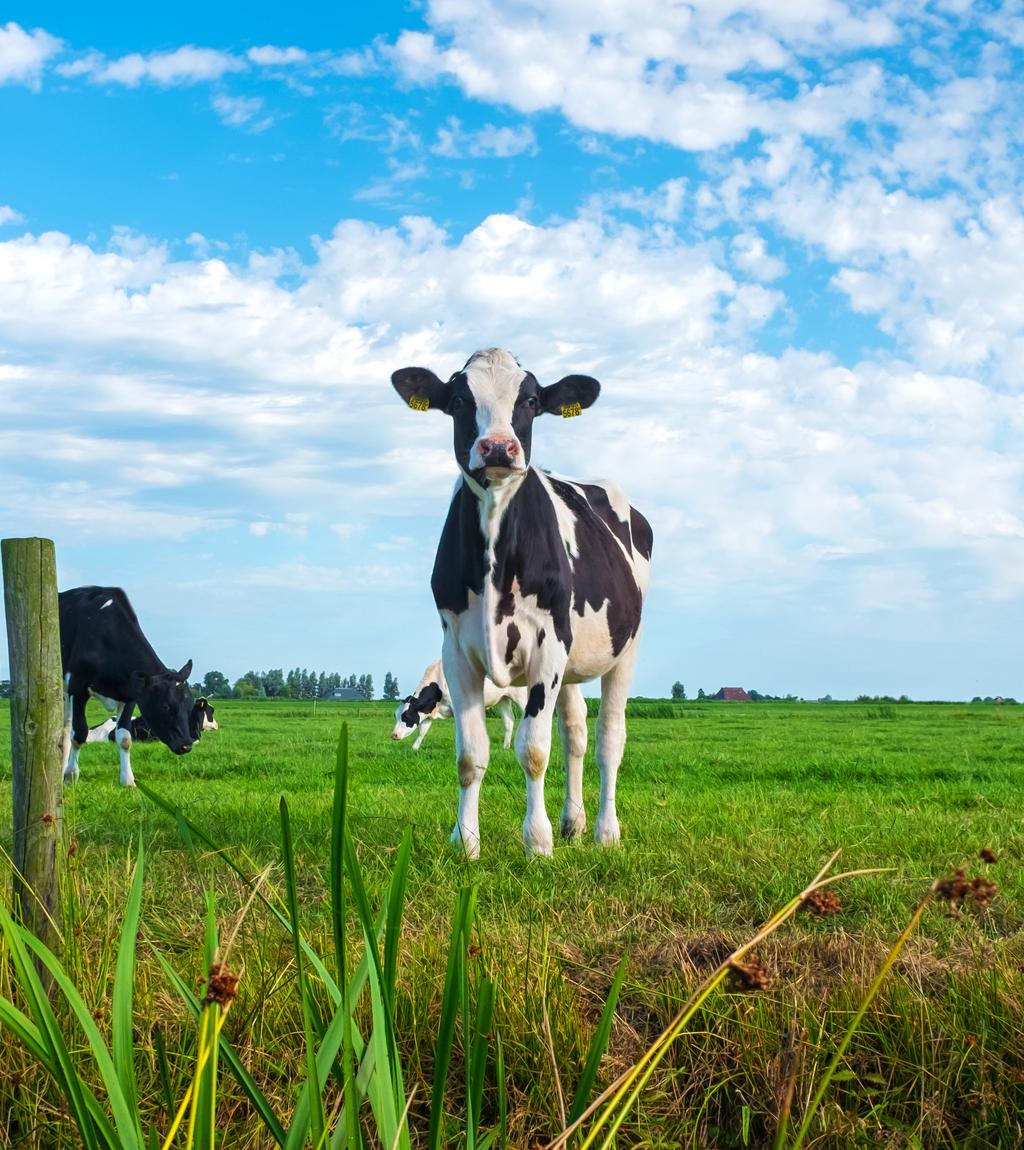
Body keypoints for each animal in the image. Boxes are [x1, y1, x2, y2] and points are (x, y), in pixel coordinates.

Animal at [60, 588, 196, 786]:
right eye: (165, 706)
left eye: (191, 706)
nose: (186, 745)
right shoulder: (78, 687)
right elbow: (79, 734)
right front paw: (71, 776)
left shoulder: (130, 695)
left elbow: (125, 738)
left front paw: (128, 780)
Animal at [386, 662, 522, 749]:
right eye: (395, 715)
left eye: (406, 716)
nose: (393, 735)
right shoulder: (429, 711)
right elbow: (423, 731)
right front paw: (414, 748)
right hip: (503, 699)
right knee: (509, 721)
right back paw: (505, 747)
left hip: (521, 695)